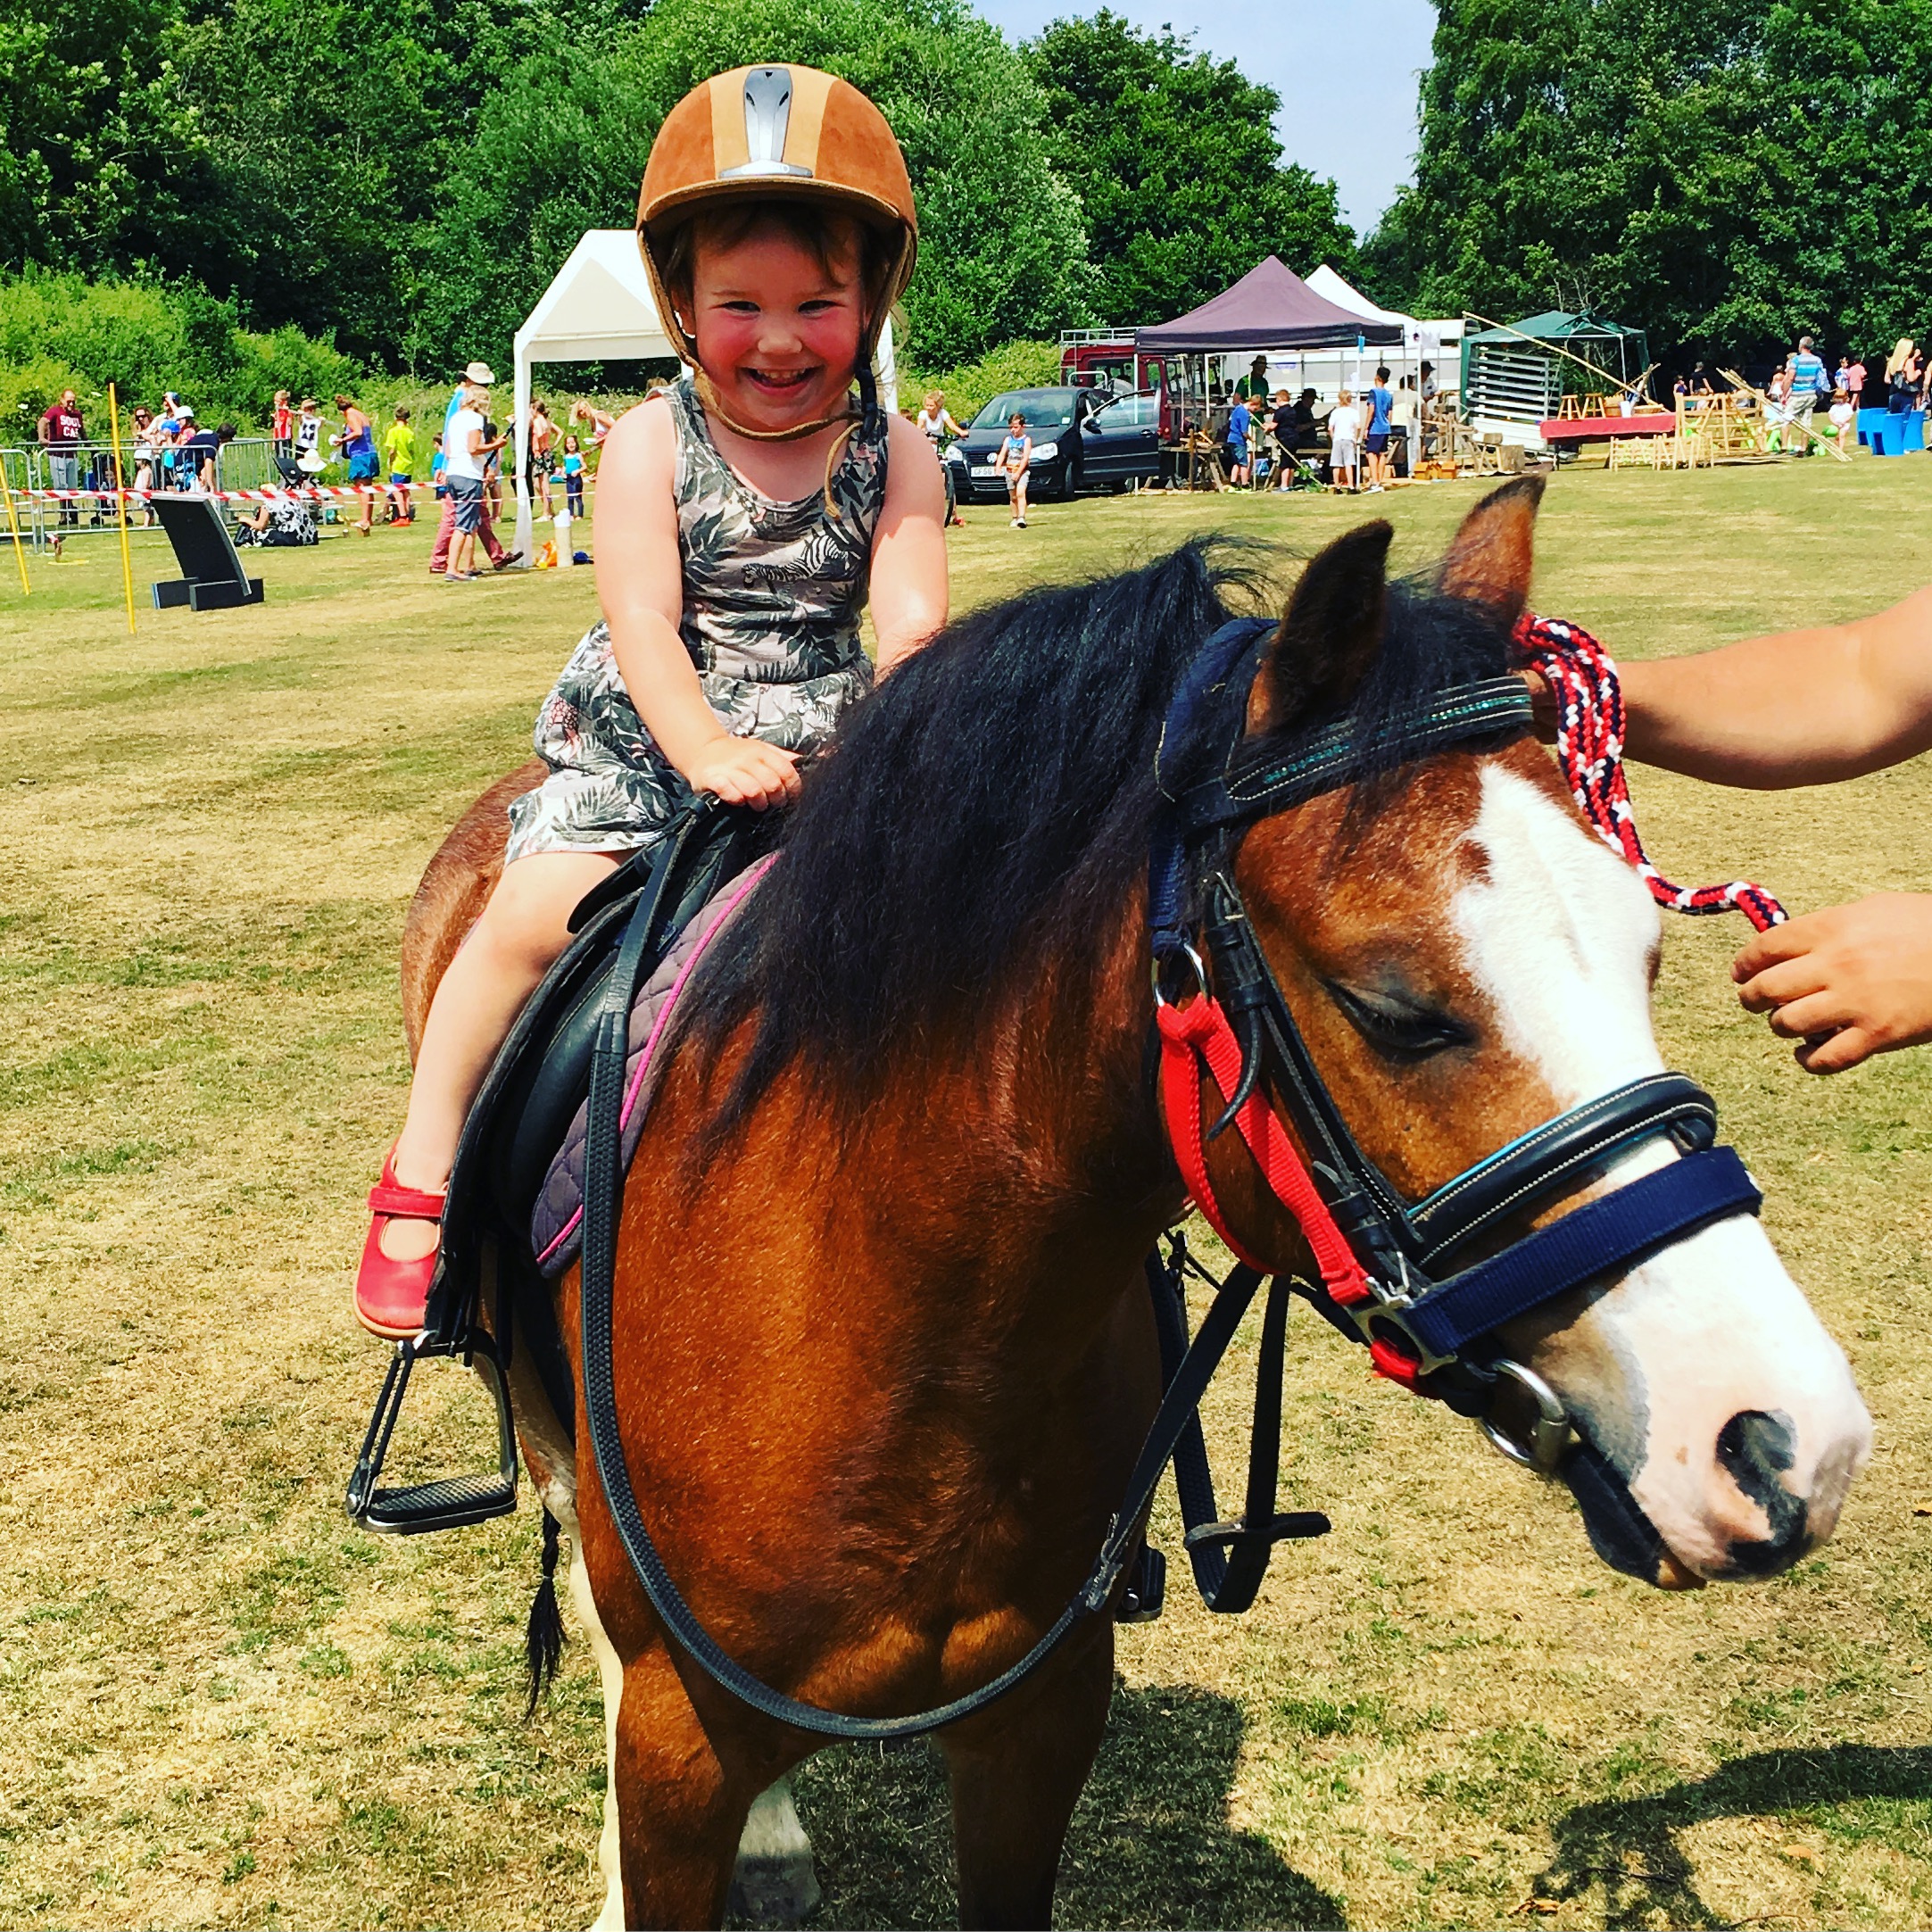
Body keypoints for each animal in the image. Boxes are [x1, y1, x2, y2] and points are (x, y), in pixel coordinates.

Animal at [403, 478, 1870, 1916]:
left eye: (1646, 951)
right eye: (1393, 1010)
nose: (1786, 1442)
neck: (895, 1331)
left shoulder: (1040, 1713)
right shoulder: (678, 1737)